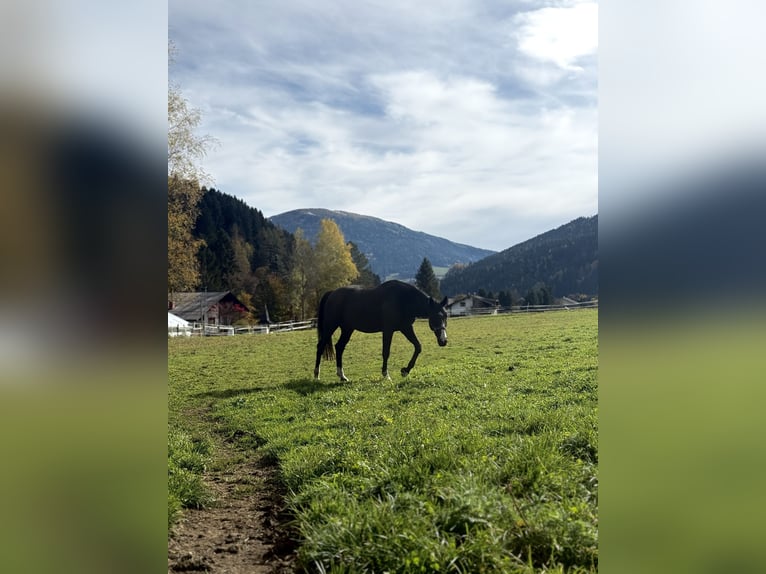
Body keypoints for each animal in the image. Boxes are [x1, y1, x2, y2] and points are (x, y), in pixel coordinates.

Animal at [314, 280, 448, 381]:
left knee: (339, 347)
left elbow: (418, 347)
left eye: (445, 316)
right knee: (320, 346)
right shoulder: (388, 330)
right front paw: (386, 374)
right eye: (436, 316)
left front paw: (405, 370)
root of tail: (332, 293)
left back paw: (342, 376)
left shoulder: (406, 328)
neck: (403, 299)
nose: (444, 341)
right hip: (330, 326)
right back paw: (316, 375)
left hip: (347, 329)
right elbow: (386, 352)